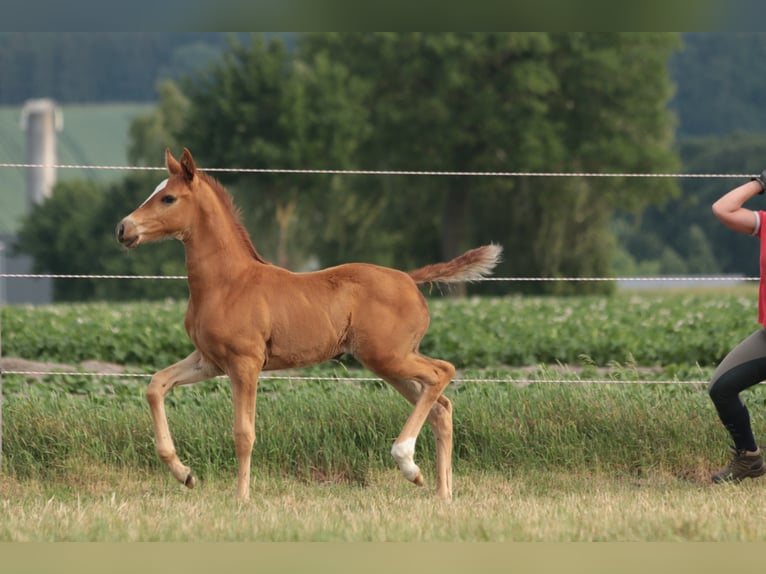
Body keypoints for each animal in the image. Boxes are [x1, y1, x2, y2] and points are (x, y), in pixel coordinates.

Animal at [117, 150, 504, 504]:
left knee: (443, 371)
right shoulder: (209, 361)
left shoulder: (245, 364)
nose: (123, 229)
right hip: (391, 363)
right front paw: (185, 474)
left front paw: (241, 498)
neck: (228, 283)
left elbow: (244, 433)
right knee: (442, 407)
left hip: (388, 356)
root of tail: (410, 279)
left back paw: (407, 462)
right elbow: (156, 385)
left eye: (168, 197)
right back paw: (440, 491)